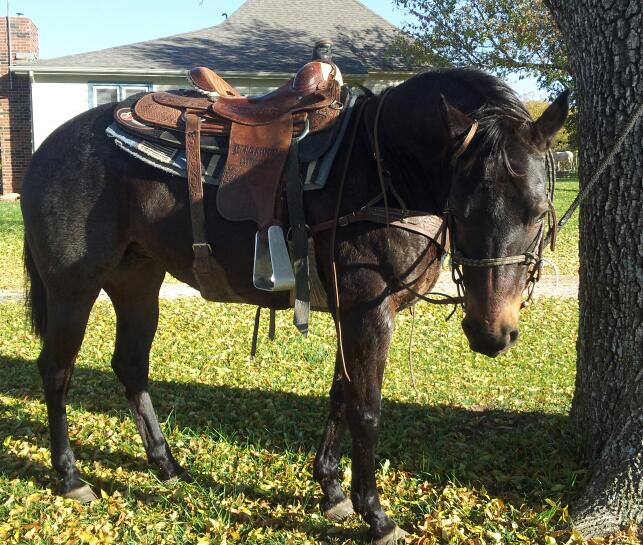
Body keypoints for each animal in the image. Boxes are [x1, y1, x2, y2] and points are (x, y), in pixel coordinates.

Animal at [20, 68, 568, 544]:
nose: (491, 332)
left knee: (131, 366)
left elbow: (340, 396)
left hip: (137, 282)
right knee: (56, 371)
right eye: (462, 206)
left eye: (538, 210)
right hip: (73, 289)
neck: (382, 166)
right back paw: (70, 476)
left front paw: (331, 490)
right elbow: (367, 409)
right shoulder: (368, 313)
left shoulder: (353, 314)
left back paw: (166, 464)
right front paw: (375, 514)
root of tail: (48, 149)